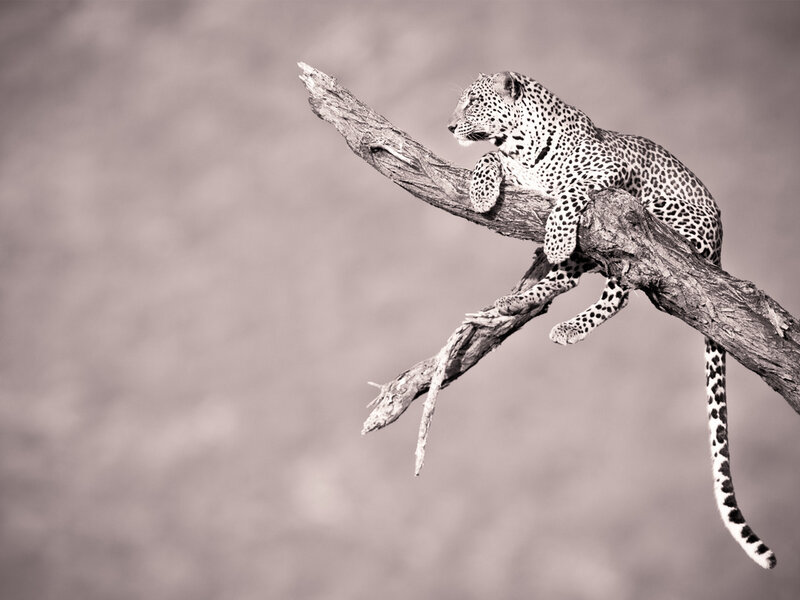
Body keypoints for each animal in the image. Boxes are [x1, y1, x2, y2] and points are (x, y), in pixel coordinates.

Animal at [448, 71, 776, 569]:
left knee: (620, 289)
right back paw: (514, 303)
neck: (520, 145)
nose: (449, 126)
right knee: (568, 280)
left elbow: (568, 192)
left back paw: (565, 318)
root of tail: (719, 247)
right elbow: (488, 157)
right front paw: (483, 192)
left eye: (474, 102)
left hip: (647, 229)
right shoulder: (515, 167)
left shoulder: (606, 172)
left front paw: (556, 234)